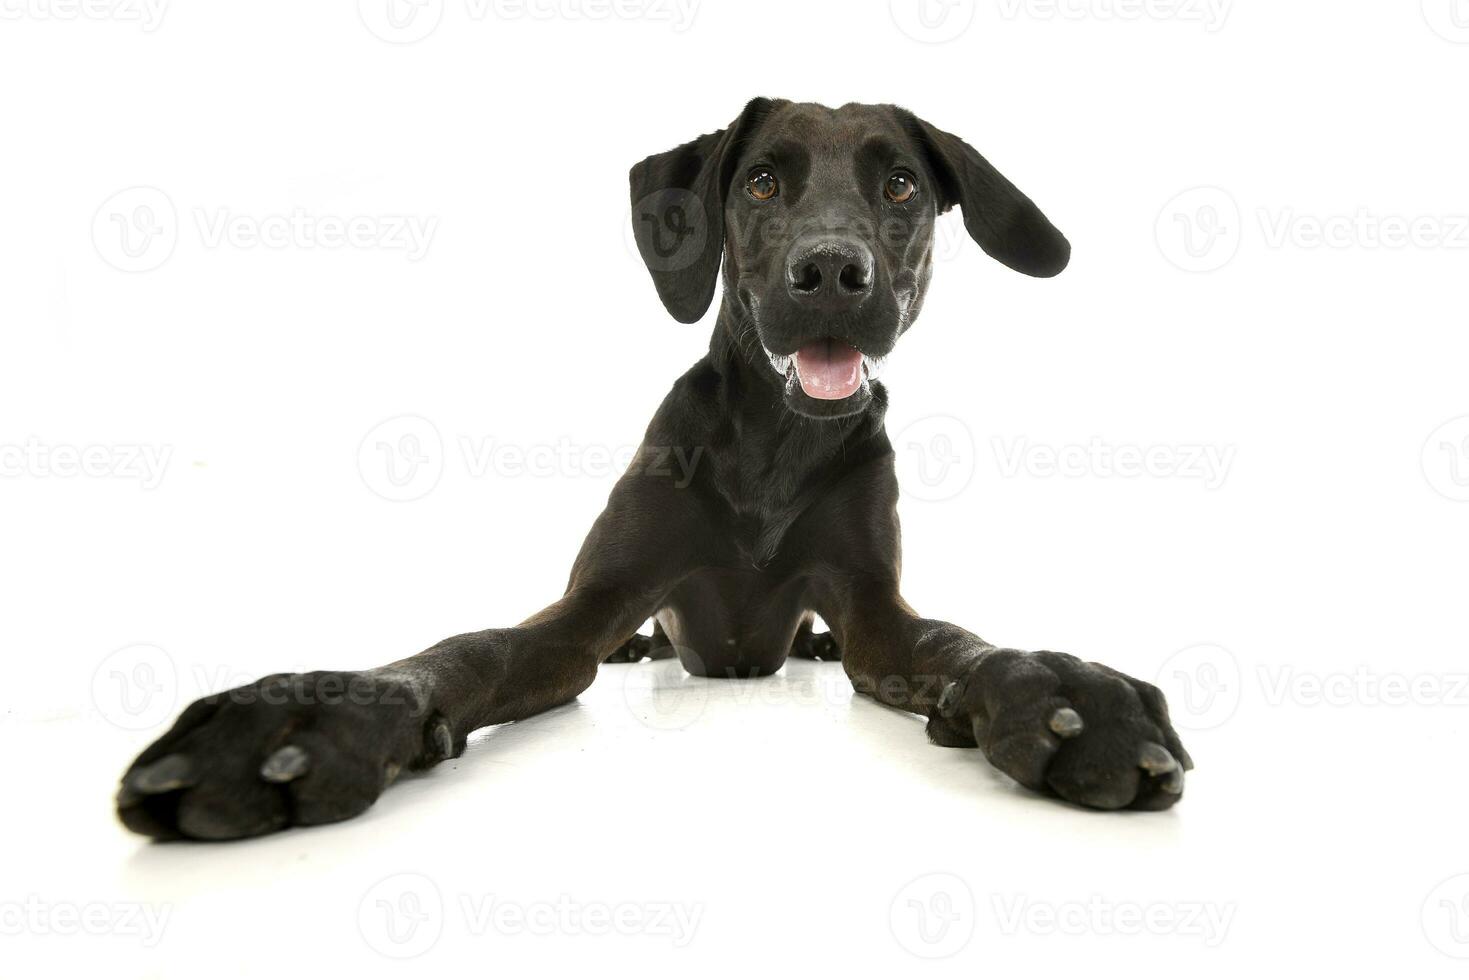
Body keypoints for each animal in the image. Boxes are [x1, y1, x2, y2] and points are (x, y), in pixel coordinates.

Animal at [117, 99, 1192, 846]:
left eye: (901, 187)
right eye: (758, 183)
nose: (831, 274)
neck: (773, 443)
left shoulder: (874, 609)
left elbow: (954, 639)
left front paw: (1061, 688)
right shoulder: (593, 604)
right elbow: (474, 647)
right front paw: (306, 711)